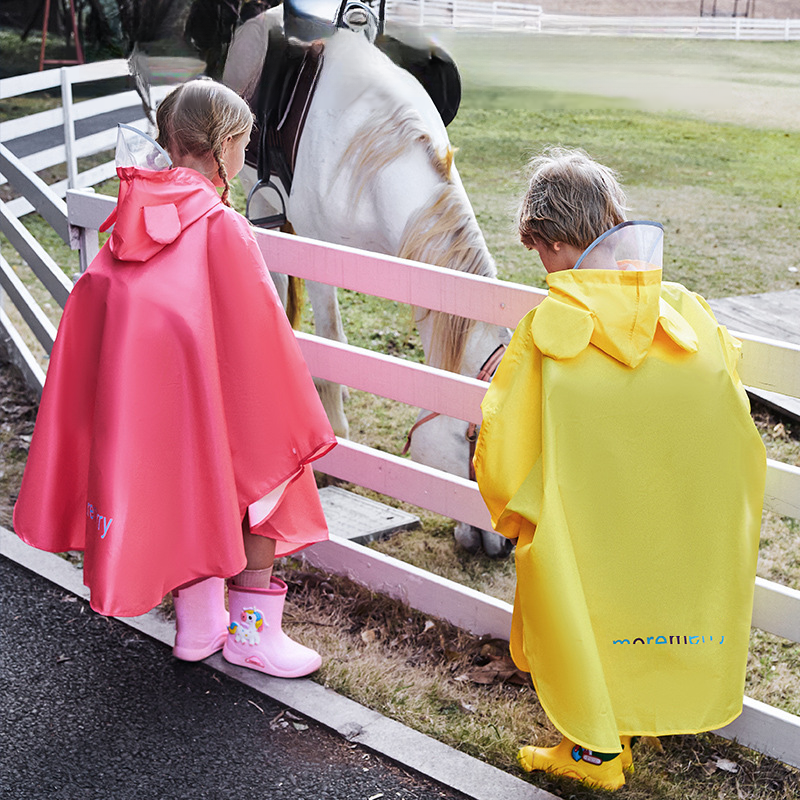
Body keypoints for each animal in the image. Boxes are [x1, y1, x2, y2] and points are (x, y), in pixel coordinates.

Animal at [225, 18, 512, 556]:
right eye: (476, 440)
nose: (503, 547)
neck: (376, 149)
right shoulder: (319, 249)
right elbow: (333, 340)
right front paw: (333, 442)